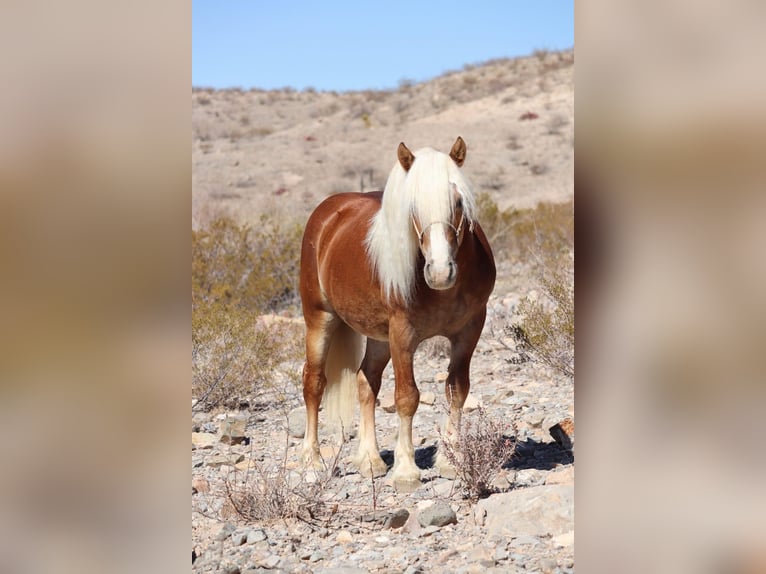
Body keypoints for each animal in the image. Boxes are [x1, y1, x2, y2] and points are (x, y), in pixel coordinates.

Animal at [300, 138, 498, 486]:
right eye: (413, 208)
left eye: (458, 203)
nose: (440, 272)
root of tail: (328, 214)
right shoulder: (404, 335)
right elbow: (407, 397)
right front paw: (406, 470)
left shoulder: (469, 330)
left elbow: (457, 390)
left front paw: (450, 459)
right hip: (320, 320)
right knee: (313, 383)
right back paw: (312, 459)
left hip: (379, 337)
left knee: (366, 383)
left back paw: (370, 460)